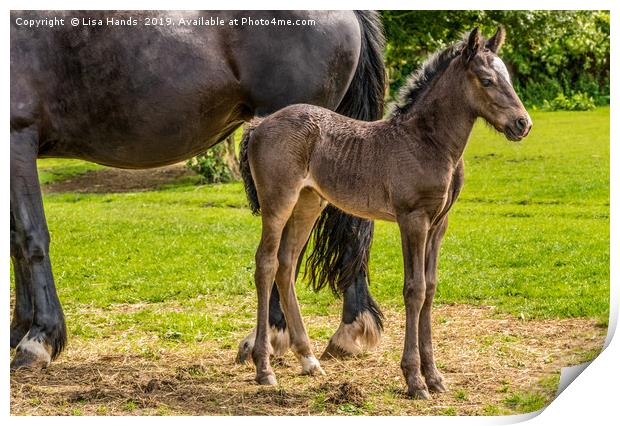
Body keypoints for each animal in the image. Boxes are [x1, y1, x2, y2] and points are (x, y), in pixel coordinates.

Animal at [9, 10, 386, 370]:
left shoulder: (18, 137)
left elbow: (31, 239)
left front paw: (38, 339)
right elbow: (15, 242)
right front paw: (18, 331)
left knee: (287, 250)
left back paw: (270, 338)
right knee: (343, 231)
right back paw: (348, 331)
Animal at [240, 28, 532, 398]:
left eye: (507, 77)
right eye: (487, 80)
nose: (523, 124)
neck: (429, 143)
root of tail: (260, 124)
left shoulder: (439, 224)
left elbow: (431, 288)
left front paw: (435, 376)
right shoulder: (413, 219)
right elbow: (414, 290)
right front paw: (414, 379)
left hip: (309, 202)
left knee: (286, 263)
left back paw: (308, 360)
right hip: (278, 201)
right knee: (265, 263)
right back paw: (264, 368)